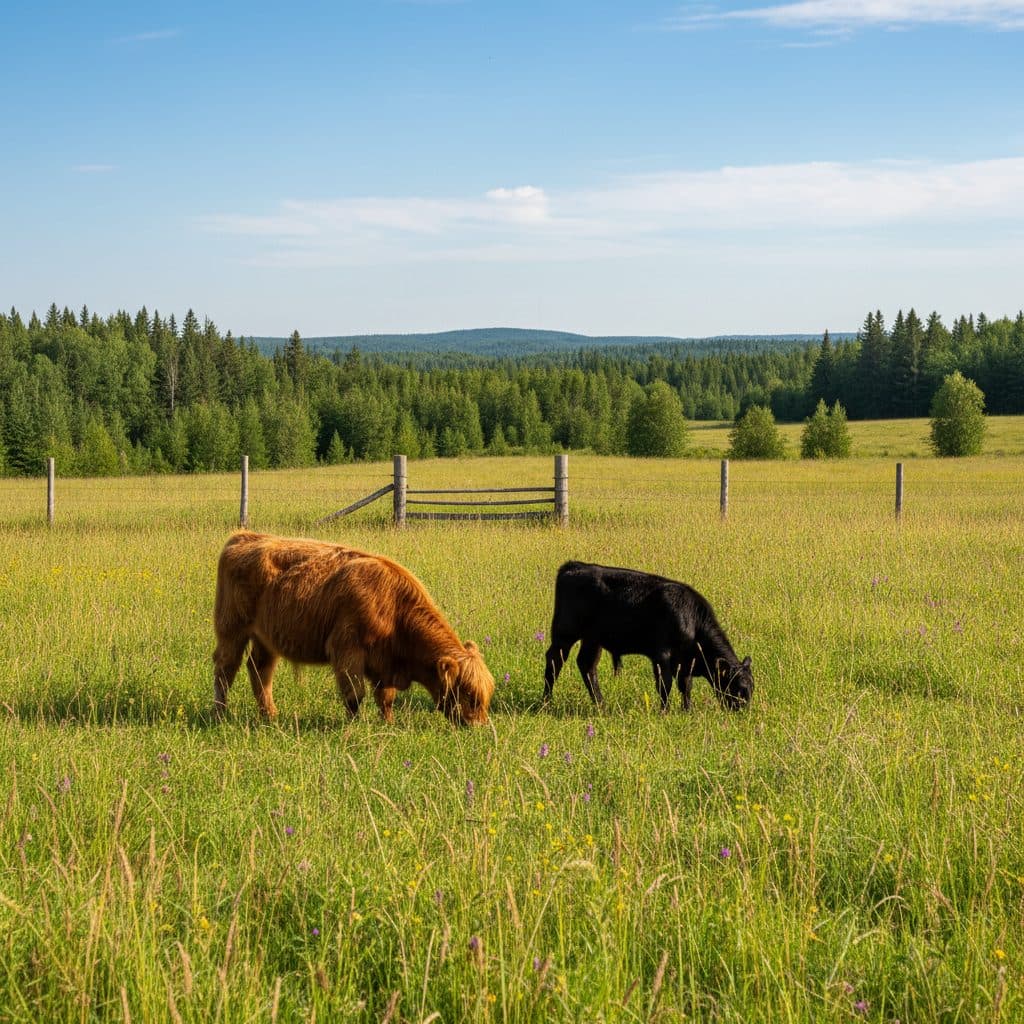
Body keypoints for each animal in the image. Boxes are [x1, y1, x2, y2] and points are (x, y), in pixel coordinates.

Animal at [212, 531, 495, 725]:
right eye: (469, 693)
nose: (478, 726)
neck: (394, 608)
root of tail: (244, 536)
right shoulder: (347, 650)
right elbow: (354, 695)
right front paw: (353, 726)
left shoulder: (385, 665)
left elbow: (386, 698)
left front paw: (388, 724)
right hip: (231, 630)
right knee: (225, 669)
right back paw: (220, 713)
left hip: (266, 638)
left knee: (260, 670)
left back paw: (270, 715)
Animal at [542, 561, 753, 711]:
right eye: (739, 688)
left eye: (752, 687)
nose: (743, 711)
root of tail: (574, 565)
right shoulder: (661, 655)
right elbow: (665, 684)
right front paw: (664, 711)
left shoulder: (685, 662)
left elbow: (686, 686)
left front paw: (687, 710)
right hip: (564, 634)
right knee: (554, 661)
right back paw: (547, 702)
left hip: (593, 639)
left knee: (587, 665)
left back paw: (601, 704)